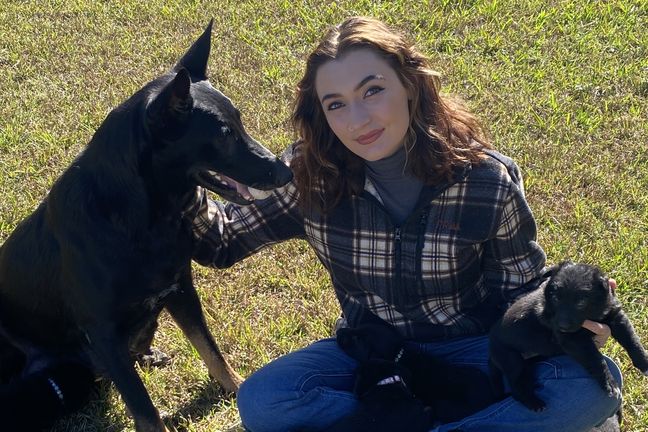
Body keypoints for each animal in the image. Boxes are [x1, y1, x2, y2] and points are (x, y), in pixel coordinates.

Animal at [0, 21, 293, 432]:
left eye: (240, 122)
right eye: (224, 136)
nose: (286, 172)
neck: (143, 217)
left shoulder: (180, 290)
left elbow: (213, 353)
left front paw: (237, 392)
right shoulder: (103, 332)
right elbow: (145, 409)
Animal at [327, 318, 498, 431]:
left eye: (356, 339)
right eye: (357, 328)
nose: (339, 331)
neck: (398, 353)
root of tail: (491, 397)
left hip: (443, 405)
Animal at [489, 261, 648, 412]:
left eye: (581, 302)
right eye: (555, 298)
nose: (562, 326)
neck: (591, 315)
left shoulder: (615, 316)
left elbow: (632, 340)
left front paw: (644, 362)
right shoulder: (573, 340)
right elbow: (596, 358)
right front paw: (609, 382)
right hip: (512, 359)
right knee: (517, 387)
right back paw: (535, 403)